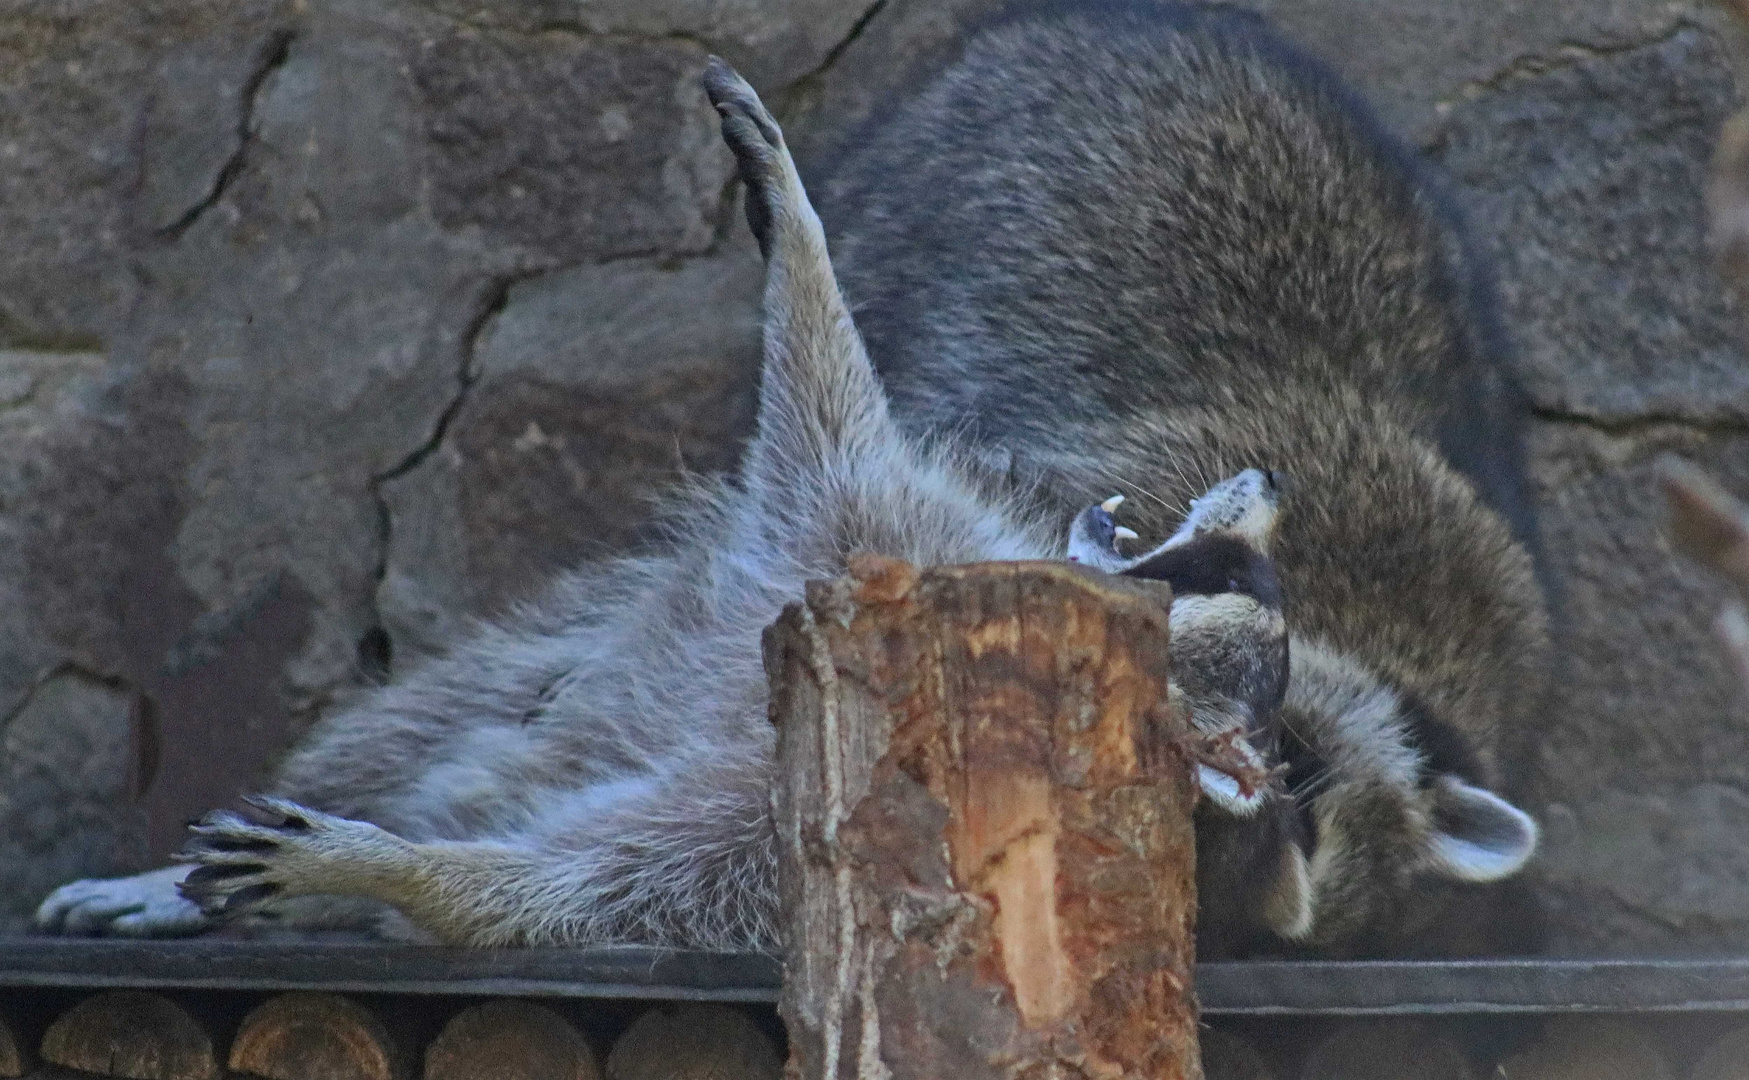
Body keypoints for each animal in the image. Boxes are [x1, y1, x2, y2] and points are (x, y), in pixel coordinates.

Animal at [34, 59, 1308, 952]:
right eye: (1228, 566)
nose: (1265, 482)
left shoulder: (807, 852)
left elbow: (557, 898)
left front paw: (394, 872)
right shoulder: (877, 543)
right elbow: (825, 421)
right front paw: (795, 221)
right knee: (421, 718)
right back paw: (173, 876)